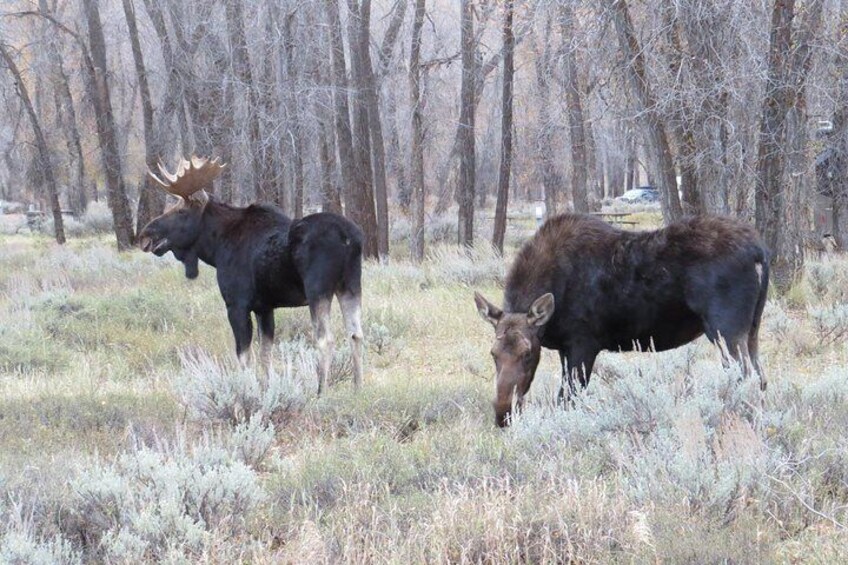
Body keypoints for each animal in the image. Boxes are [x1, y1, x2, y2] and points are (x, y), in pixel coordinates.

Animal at [137, 154, 362, 392]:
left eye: (180, 211)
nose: (145, 235)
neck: (215, 248)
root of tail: (349, 238)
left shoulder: (237, 304)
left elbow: (244, 356)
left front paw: (245, 390)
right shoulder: (265, 307)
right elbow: (265, 353)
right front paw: (266, 388)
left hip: (318, 290)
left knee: (326, 339)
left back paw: (321, 392)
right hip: (350, 285)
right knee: (355, 333)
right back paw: (358, 388)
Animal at [474, 214, 772, 426]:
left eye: (527, 354)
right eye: (493, 354)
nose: (503, 414)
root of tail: (760, 252)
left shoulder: (584, 344)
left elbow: (567, 398)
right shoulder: (565, 348)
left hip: (725, 330)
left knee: (745, 379)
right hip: (751, 330)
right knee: (760, 378)